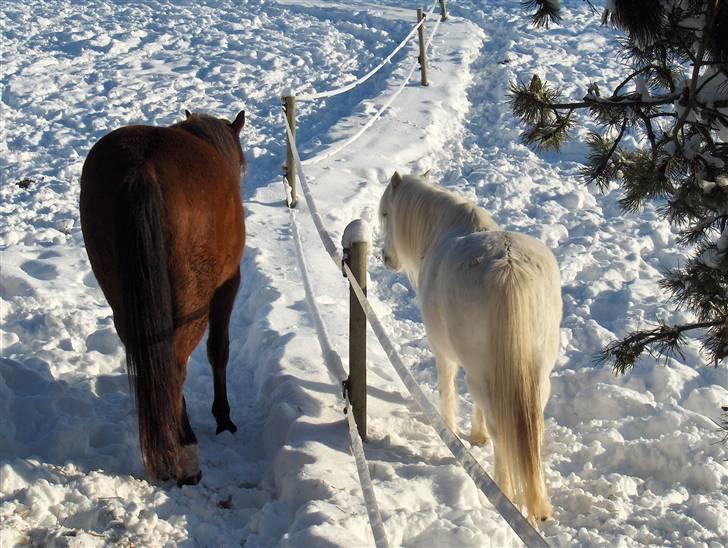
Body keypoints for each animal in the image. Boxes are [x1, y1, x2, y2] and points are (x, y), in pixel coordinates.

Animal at [80, 110, 247, 484]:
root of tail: (143, 168)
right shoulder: (229, 284)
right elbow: (219, 350)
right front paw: (224, 418)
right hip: (193, 304)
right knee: (174, 365)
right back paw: (185, 455)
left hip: (123, 301)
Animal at [382, 171, 564, 524]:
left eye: (385, 214)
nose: (386, 259)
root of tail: (509, 267)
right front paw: (476, 437)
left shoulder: (445, 355)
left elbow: (447, 391)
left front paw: (452, 435)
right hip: (535, 376)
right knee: (530, 428)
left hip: (482, 371)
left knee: (501, 429)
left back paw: (504, 492)